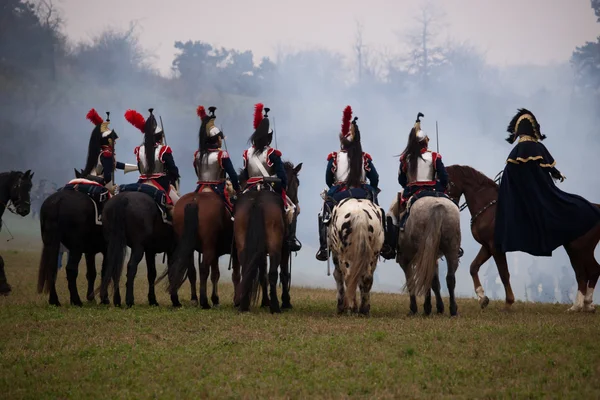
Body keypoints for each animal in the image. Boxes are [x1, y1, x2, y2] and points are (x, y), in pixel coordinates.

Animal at [234, 161, 300, 314]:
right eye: (297, 183)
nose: (297, 206)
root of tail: (257, 200)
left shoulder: (261, 250)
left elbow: (262, 274)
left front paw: (265, 301)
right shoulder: (284, 249)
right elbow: (284, 273)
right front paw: (286, 302)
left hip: (243, 246)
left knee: (246, 268)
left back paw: (244, 304)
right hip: (275, 247)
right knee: (273, 273)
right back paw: (275, 306)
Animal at [446, 163, 600, 312]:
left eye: (448, 183)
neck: (489, 208)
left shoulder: (496, 248)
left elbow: (504, 274)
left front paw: (508, 303)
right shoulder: (487, 247)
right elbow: (474, 267)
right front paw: (482, 298)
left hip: (580, 249)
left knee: (590, 271)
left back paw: (582, 305)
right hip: (574, 249)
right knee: (583, 273)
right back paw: (582, 306)